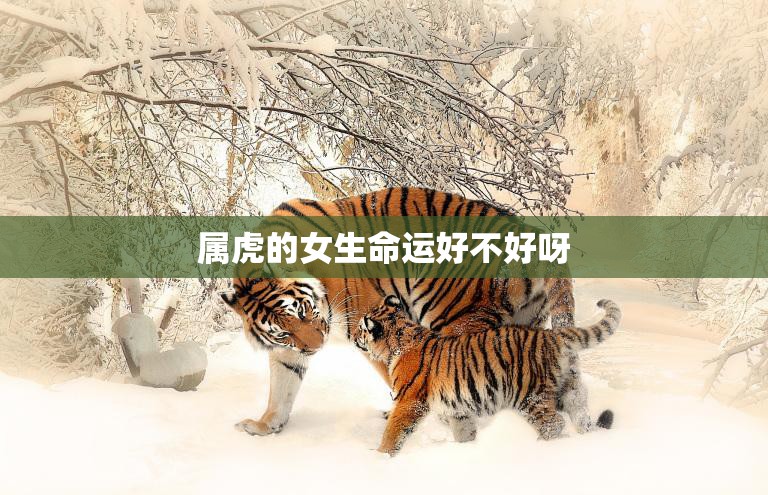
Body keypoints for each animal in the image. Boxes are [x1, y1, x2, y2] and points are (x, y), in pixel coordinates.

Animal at [220, 187, 580, 437]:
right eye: (283, 331)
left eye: (305, 310)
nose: (316, 347)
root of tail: (531, 236)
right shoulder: (288, 351)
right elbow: (281, 387)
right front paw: (265, 426)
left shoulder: (369, 324)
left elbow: (398, 376)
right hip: (524, 325)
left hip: (455, 318)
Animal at [354, 295, 621, 456]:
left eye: (360, 328)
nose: (355, 337)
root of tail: (552, 335)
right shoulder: (458, 409)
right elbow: (464, 431)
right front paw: (467, 450)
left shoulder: (409, 402)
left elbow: (393, 432)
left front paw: (380, 457)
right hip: (569, 390)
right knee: (581, 416)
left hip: (530, 396)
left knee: (553, 423)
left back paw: (540, 448)